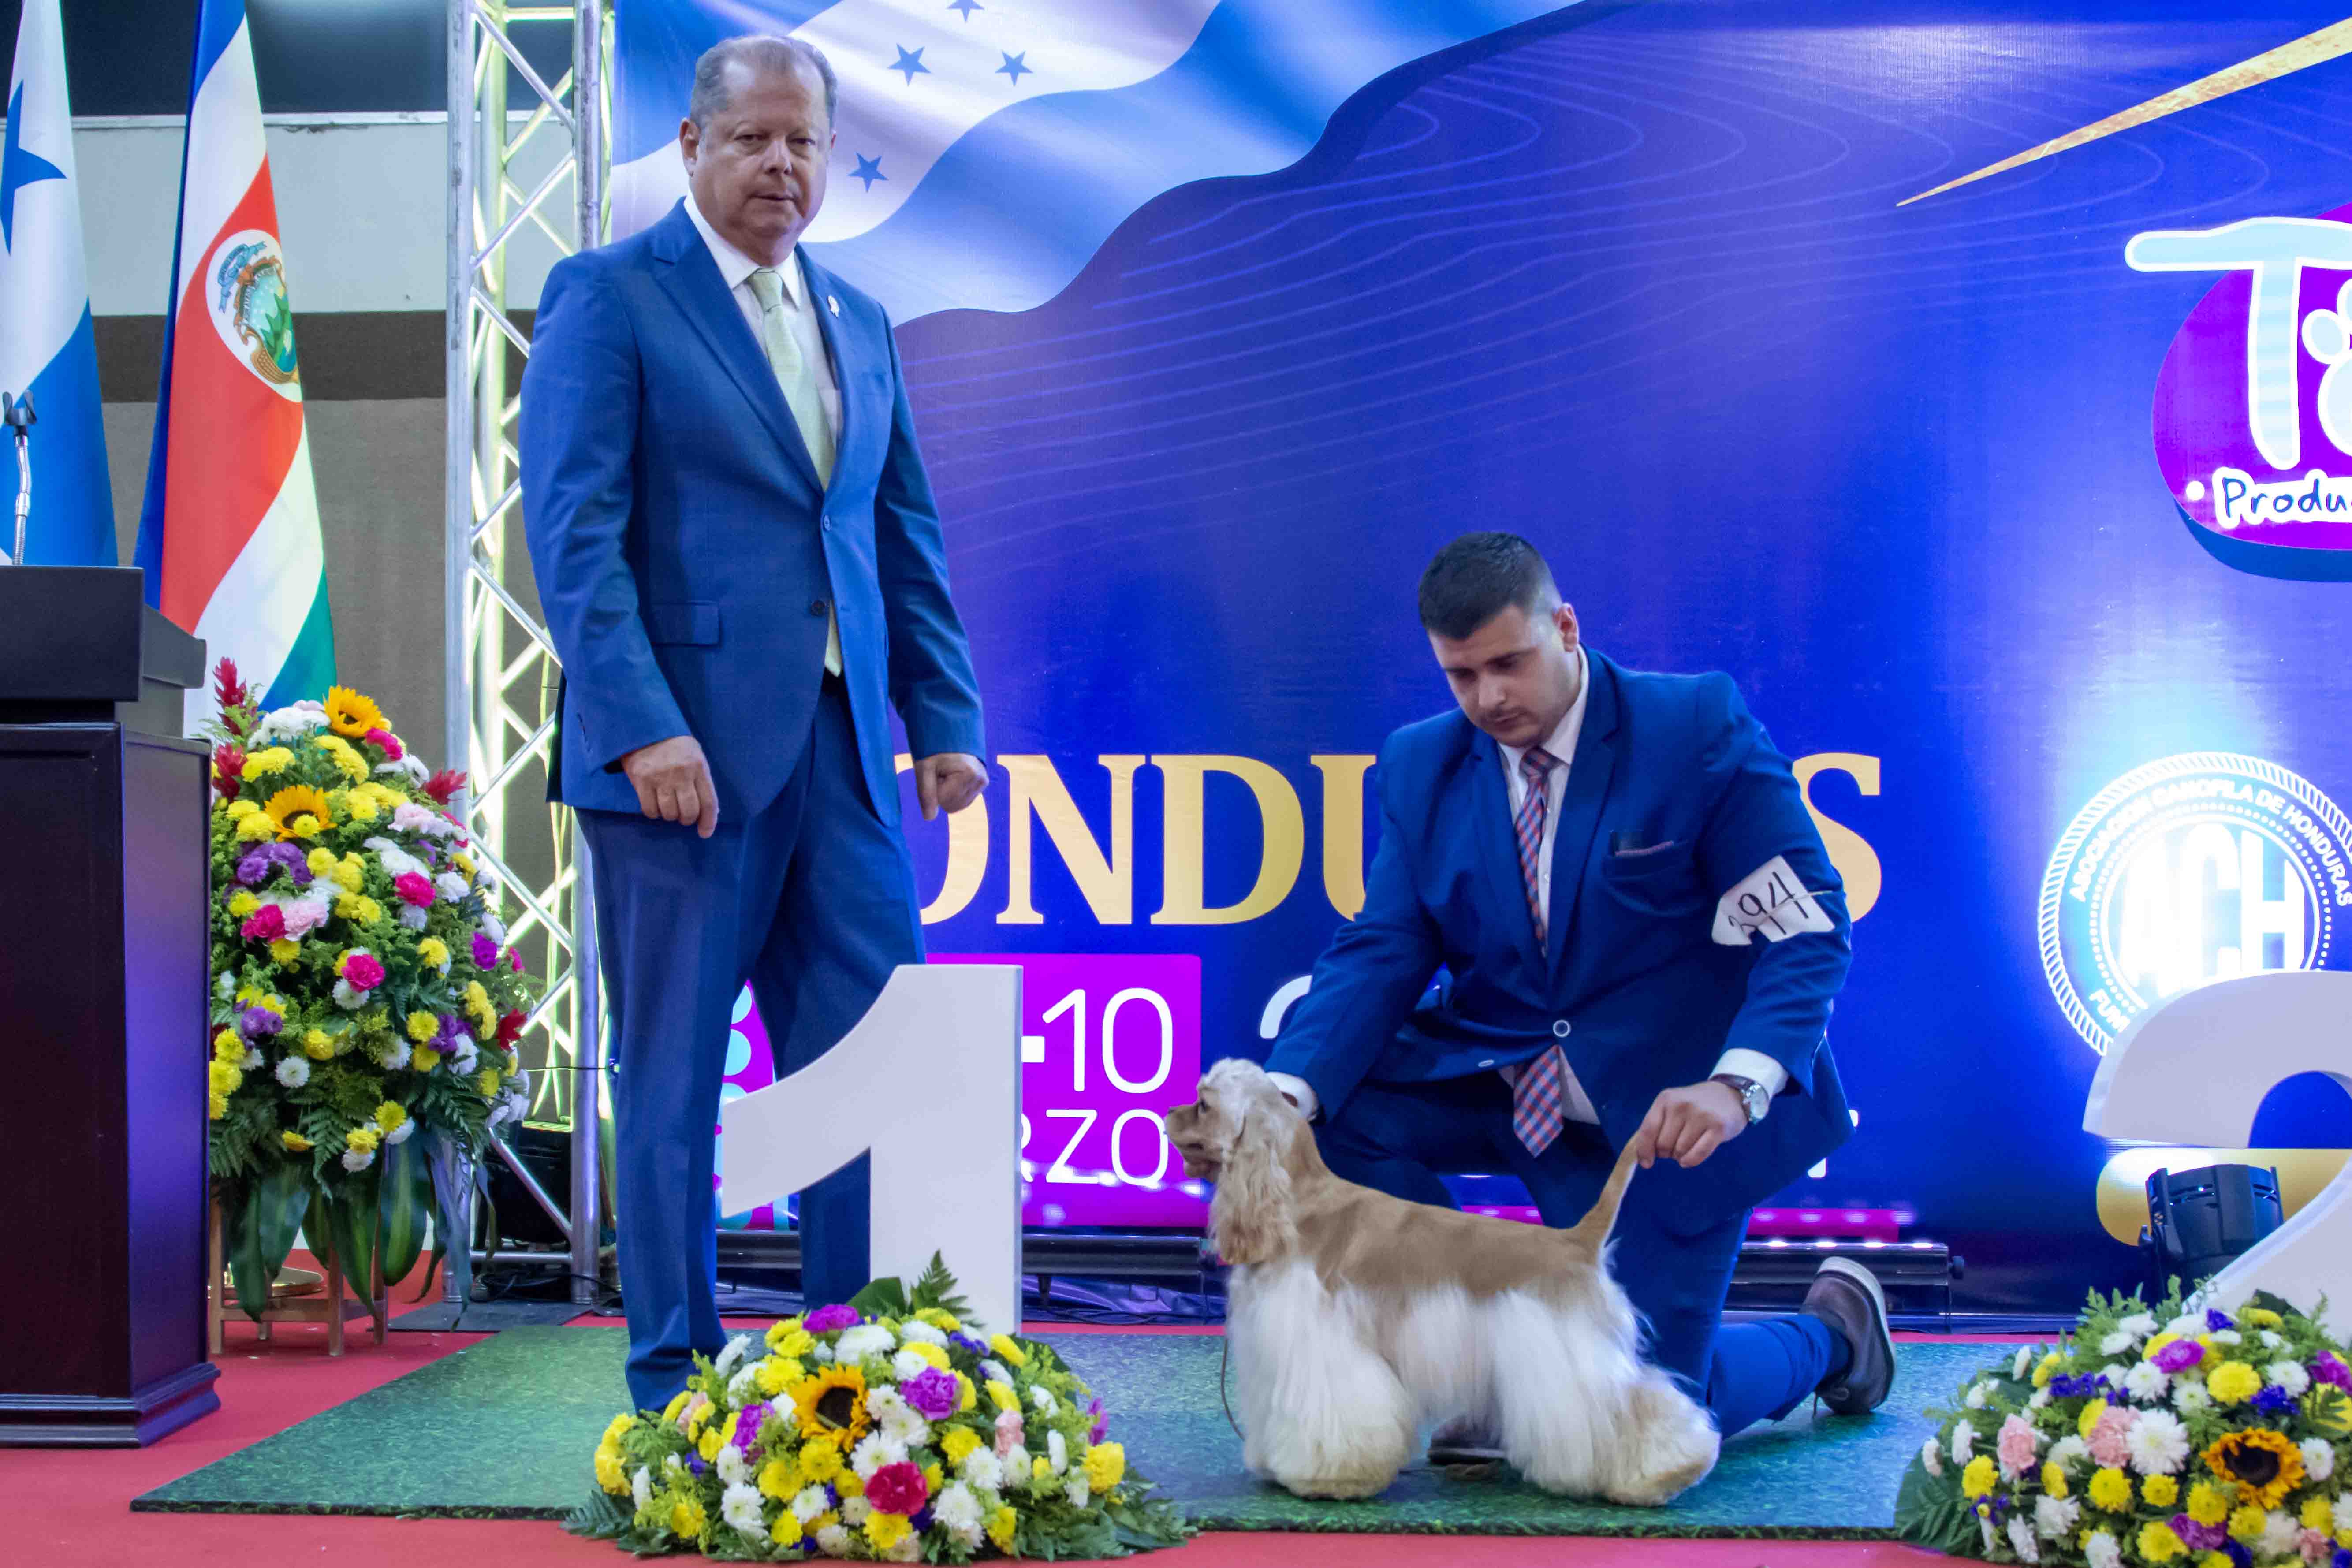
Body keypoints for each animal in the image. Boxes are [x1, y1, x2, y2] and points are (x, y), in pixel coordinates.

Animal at [1165, 1058, 1721, 1505]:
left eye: (1203, 1103)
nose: (1167, 1113)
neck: (1294, 1202)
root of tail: (1578, 1239)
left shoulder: (1322, 1344)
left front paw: (1329, 1479)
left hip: (1572, 1350)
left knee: (1634, 1405)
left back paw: (1662, 1474)